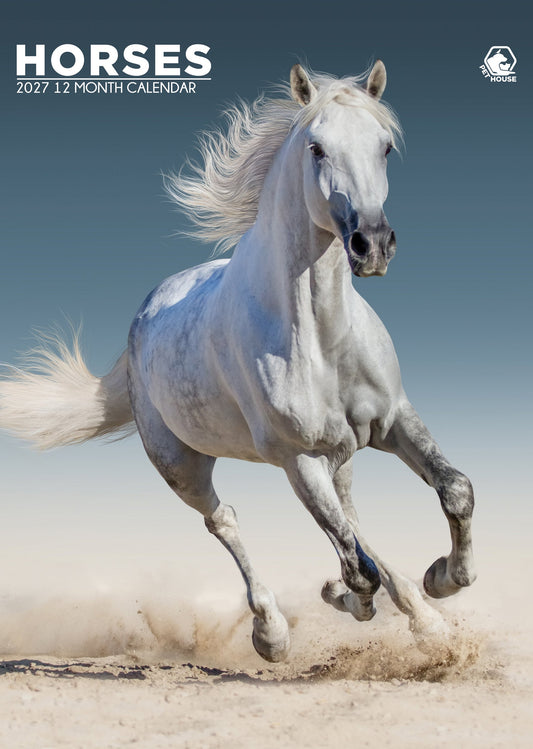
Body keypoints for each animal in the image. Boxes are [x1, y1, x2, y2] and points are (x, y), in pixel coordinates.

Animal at [0, 62, 476, 662]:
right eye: (317, 148)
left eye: (385, 146)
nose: (372, 245)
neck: (320, 335)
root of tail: (144, 316)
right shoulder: (299, 458)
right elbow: (356, 565)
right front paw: (352, 599)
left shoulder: (393, 420)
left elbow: (454, 491)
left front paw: (443, 579)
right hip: (182, 466)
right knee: (226, 521)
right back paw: (272, 633)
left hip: (341, 452)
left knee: (351, 518)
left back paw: (424, 619)